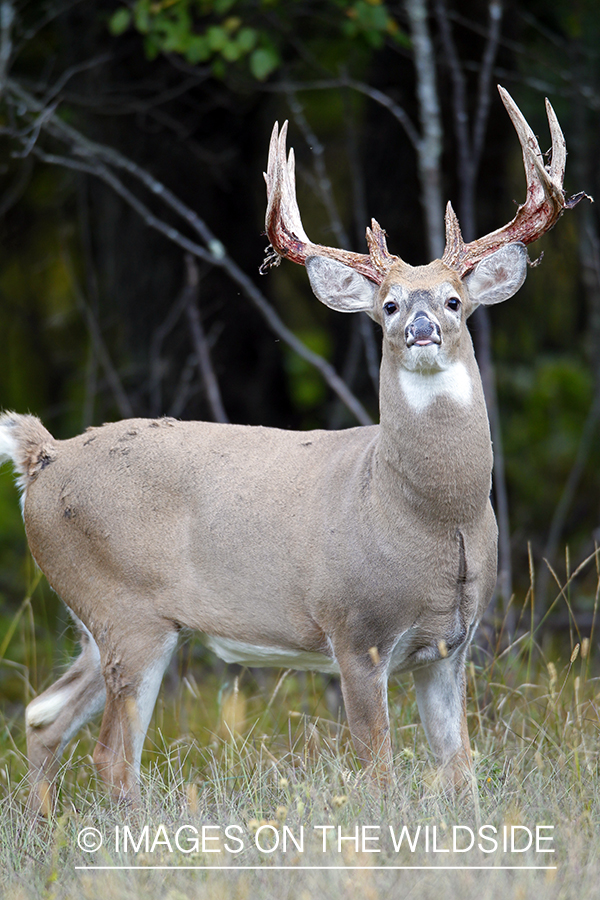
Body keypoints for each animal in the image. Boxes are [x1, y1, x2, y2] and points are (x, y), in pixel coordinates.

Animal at [0, 86, 584, 816]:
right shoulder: (355, 631)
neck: (425, 517)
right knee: (111, 756)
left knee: (42, 716)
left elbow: (459, 772)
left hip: (98, 620)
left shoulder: (452, 645)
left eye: (454, 300)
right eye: (388, 305)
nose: (421, 327)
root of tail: (41, 457)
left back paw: (44, 826)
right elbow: (379, 770)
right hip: (125, 607)